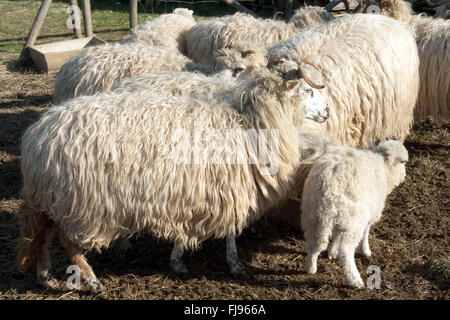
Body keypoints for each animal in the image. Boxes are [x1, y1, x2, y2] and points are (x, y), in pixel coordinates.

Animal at [16, 65, 330, 290]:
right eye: (307, 90)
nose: (327, 112)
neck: (248, 123)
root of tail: (36, 138)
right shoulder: (227, 187)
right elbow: (230, 230)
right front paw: (234, 264)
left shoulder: (196, 190)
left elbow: (190, 228)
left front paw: (178, 260)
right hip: (82, 202)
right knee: (66, 241)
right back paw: (92, 280)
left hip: (54, 197)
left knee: (45, 235)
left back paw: (47, 277)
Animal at [300, 139, 410, 288]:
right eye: (403, 163)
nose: (404, 176)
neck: (383, 166)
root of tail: (327, 186)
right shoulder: (370, 213)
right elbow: (366, 232)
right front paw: (366, 251)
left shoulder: (341, 219)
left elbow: (336, 235)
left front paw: (332, 252)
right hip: (353, 222)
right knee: (346, 250)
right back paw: (355, 279)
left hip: (314, 217)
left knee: (314, 242)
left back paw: (310, 268)